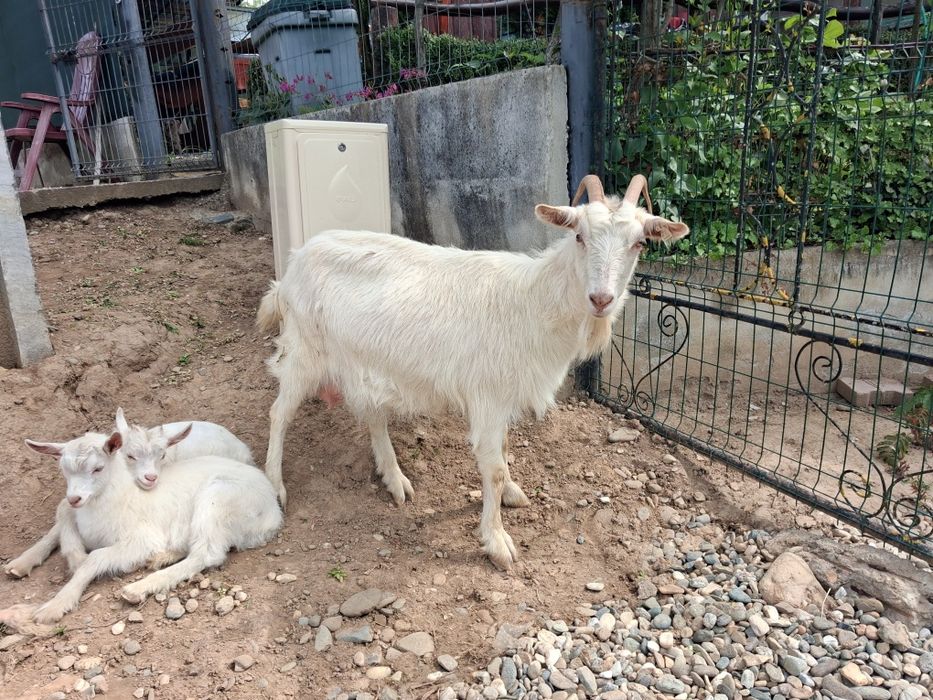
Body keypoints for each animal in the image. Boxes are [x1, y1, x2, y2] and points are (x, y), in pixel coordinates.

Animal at [4, 431, 282, 623]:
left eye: (98, 468)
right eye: (64, 470)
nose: (76, 498)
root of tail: (273, 512)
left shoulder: (141, 537)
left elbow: (96, 557)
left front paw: (55, 605)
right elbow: (62, 518)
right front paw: (28, 562)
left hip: (218, 500)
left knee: (207, 553)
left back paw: (140, 587)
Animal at [258, 174, 688, 569]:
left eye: (639, 243)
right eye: (580, 236)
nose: (601, 299)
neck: (533, 302)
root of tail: (291, 267)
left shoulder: (504, 396)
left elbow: (506, 450)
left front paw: (512, 492)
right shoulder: (489, 396)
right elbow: (493, 468)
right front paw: (497, 541)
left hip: (364, 360)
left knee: (373, 415)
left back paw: (395, 478)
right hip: (305, 349)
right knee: (279, 413)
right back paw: (276, 486)